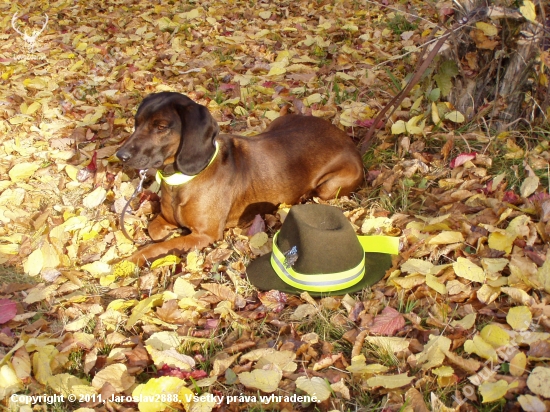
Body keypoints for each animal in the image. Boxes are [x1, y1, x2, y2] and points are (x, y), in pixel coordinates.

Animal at [117, 91, 366, 266]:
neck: (181, 179)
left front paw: (131, 259)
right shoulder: (166, 219)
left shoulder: (205, 235)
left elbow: (157, 247)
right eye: (137, 122)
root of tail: (344, 136)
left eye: (161, 127)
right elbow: (155, 231)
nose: (120, 155)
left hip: (329, 187)